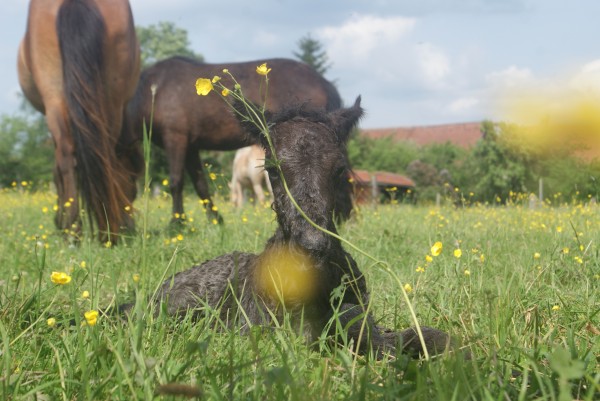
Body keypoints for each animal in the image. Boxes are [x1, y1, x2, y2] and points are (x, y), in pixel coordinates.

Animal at [17, 0, 141, 242]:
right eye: (133, 180)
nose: (130, 226)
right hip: (102, 100)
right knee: (98, 153)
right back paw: (97, 231)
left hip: (57, 96)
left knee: (71, 157)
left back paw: (80, 231)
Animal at [123, 56, 354, 225]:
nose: (125, 230)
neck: (154, 91)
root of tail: (323, 81)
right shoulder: (191, 146)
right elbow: (200, 185)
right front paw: (215, 220)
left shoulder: (176, 139)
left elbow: (176, 182)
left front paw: (177, 224)